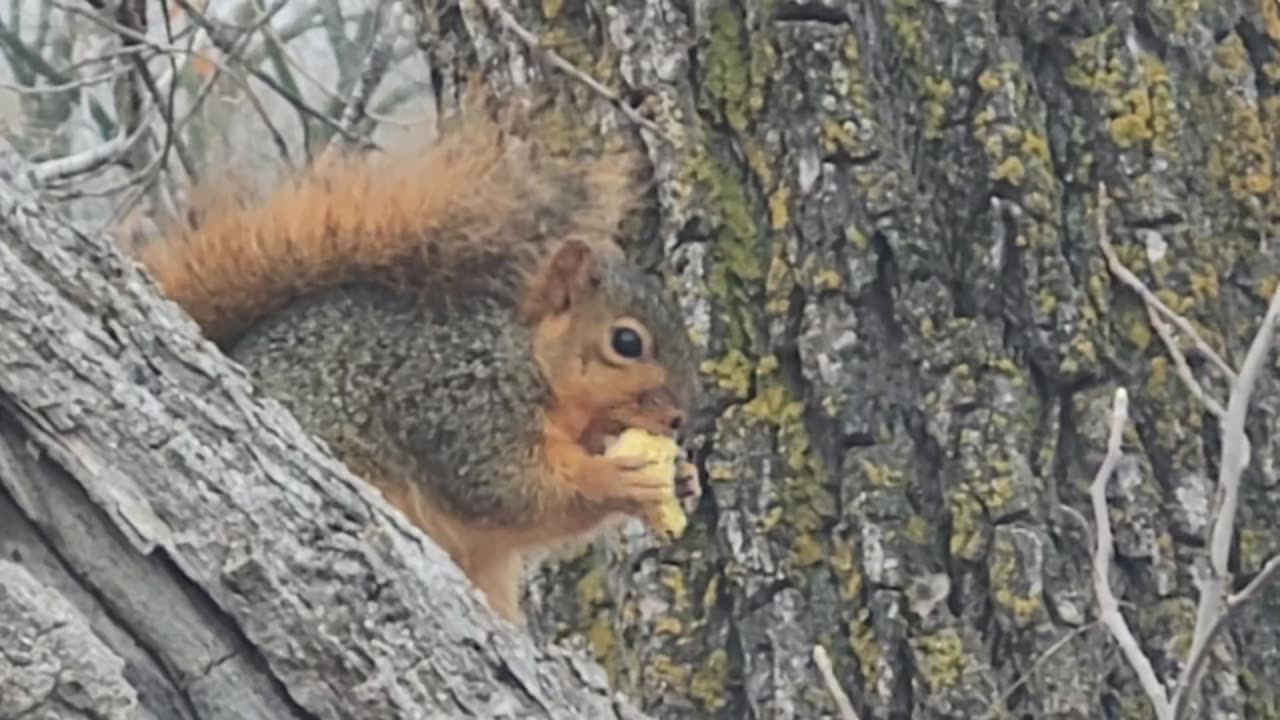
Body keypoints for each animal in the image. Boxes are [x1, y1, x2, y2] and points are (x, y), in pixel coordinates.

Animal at [140, 96, 706, 622]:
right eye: (627, 342)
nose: (681, 418)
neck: (533, 367)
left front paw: (682, 478)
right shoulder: (460, 409)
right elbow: (512, 493)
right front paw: (615, 480)